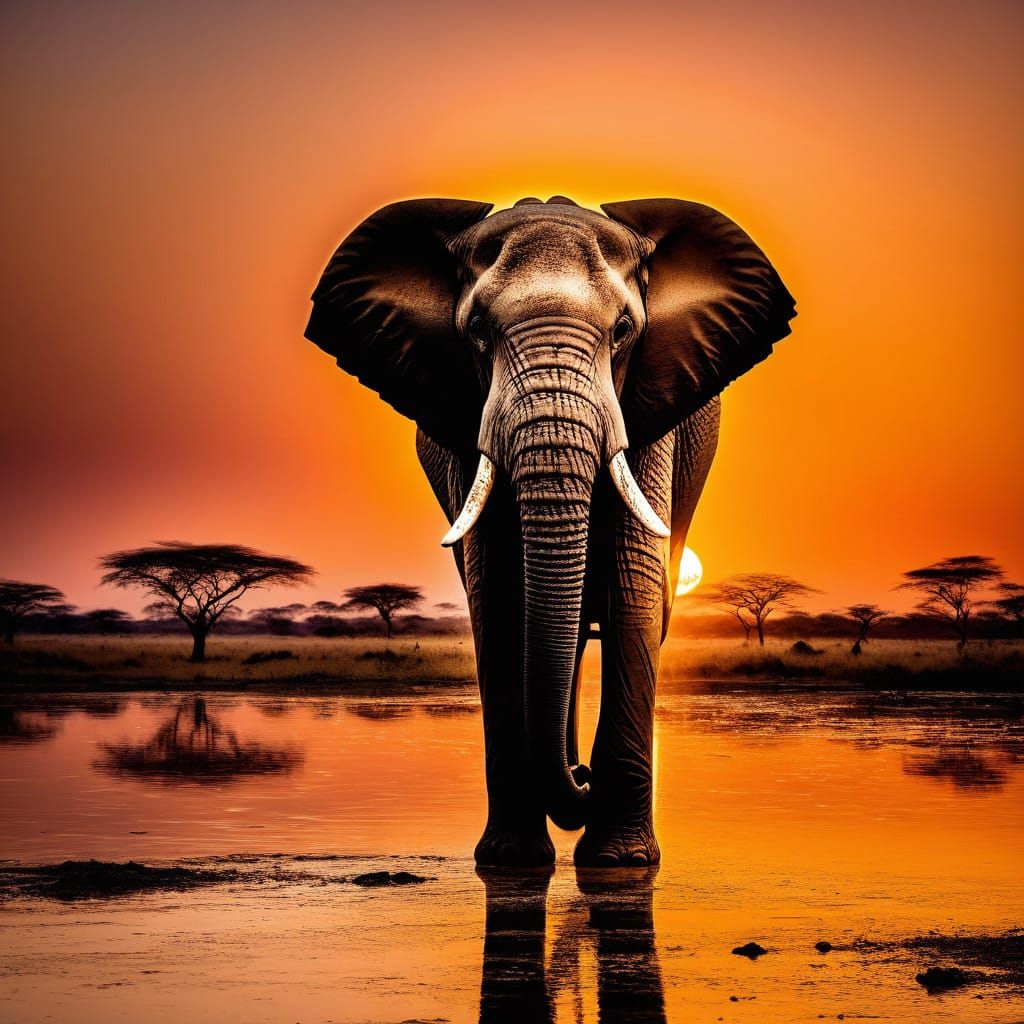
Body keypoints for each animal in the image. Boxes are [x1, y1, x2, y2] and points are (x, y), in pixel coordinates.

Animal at [305, 196, 795, 867]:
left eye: (624, 331)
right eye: (477, 332)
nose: (583, 777)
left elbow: (633, 589)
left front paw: (621, 862)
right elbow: (497, 594)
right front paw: (512, 861)